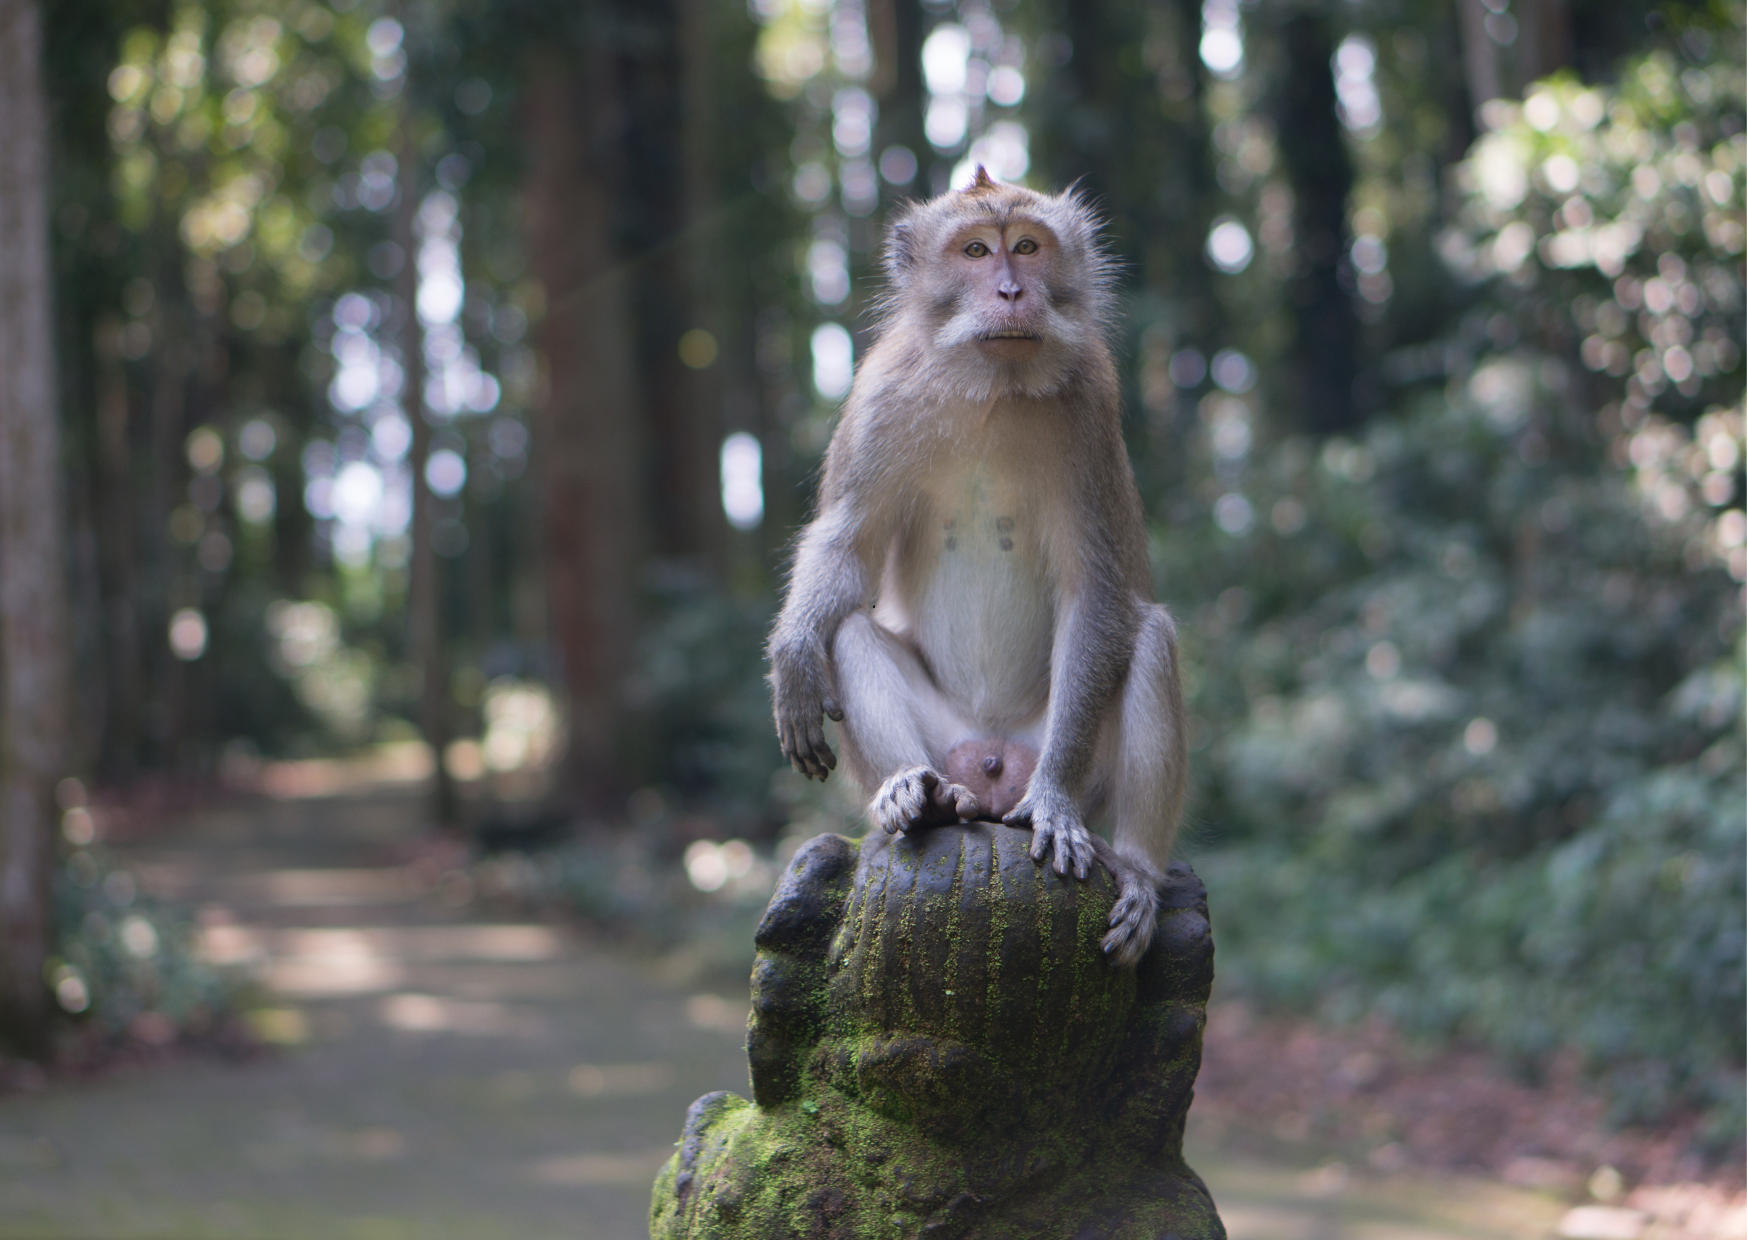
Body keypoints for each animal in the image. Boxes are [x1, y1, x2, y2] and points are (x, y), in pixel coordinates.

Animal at [767, 168, 1187, 967]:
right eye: (973, 251)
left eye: (1026, 247)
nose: (1011, 291)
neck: (992, 383)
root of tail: (992, 769)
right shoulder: (881, 396)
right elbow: (847, 546)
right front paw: (793, 653)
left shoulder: (1091, 406)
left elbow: (1098, 592)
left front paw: (1053, 801)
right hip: (948, 746)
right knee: (851, 633)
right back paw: (919, 799)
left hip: (1064, 761)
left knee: (1148, 636)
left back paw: (1138, 874)